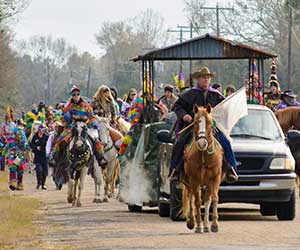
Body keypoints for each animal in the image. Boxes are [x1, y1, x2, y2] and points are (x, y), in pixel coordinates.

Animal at [180, 104, 223, 233]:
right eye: (195, 122)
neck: (204, 155)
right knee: (191, 197)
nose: (202, 143)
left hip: (206, 183)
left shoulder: (214, 179)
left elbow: (214, 199)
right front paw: (198, 226)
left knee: (207, 200)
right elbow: (197, 202)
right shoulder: (194, 180)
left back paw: (206, 225)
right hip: (189, 182)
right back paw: (191, 222)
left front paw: (214, 225)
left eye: (209, 122)